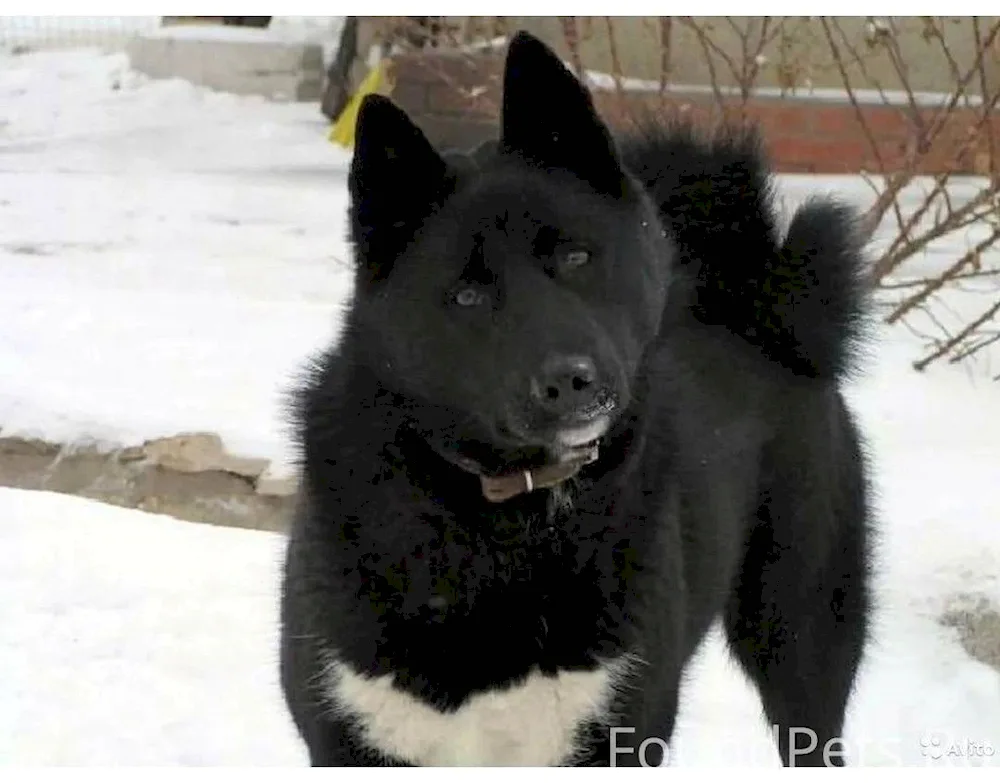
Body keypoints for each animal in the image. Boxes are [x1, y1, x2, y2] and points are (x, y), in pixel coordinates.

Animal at [278, 32, 872, 772]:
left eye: (576, 257)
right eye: (466, 295)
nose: (569, 380)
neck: (500, 520)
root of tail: (755, 304)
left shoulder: (618, 733)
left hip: (803, 645)